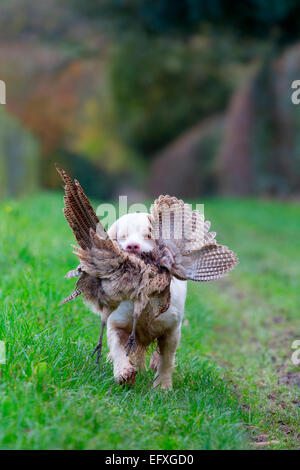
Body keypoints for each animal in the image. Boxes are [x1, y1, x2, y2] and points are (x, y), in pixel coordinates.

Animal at [105, 213, 185, 390]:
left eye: (149, 235)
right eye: (123, 236)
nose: (132, 246)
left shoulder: (171, 330)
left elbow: (166, 360)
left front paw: (162, 387)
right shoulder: (117, 324)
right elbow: (117, 348)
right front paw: (123, 373)